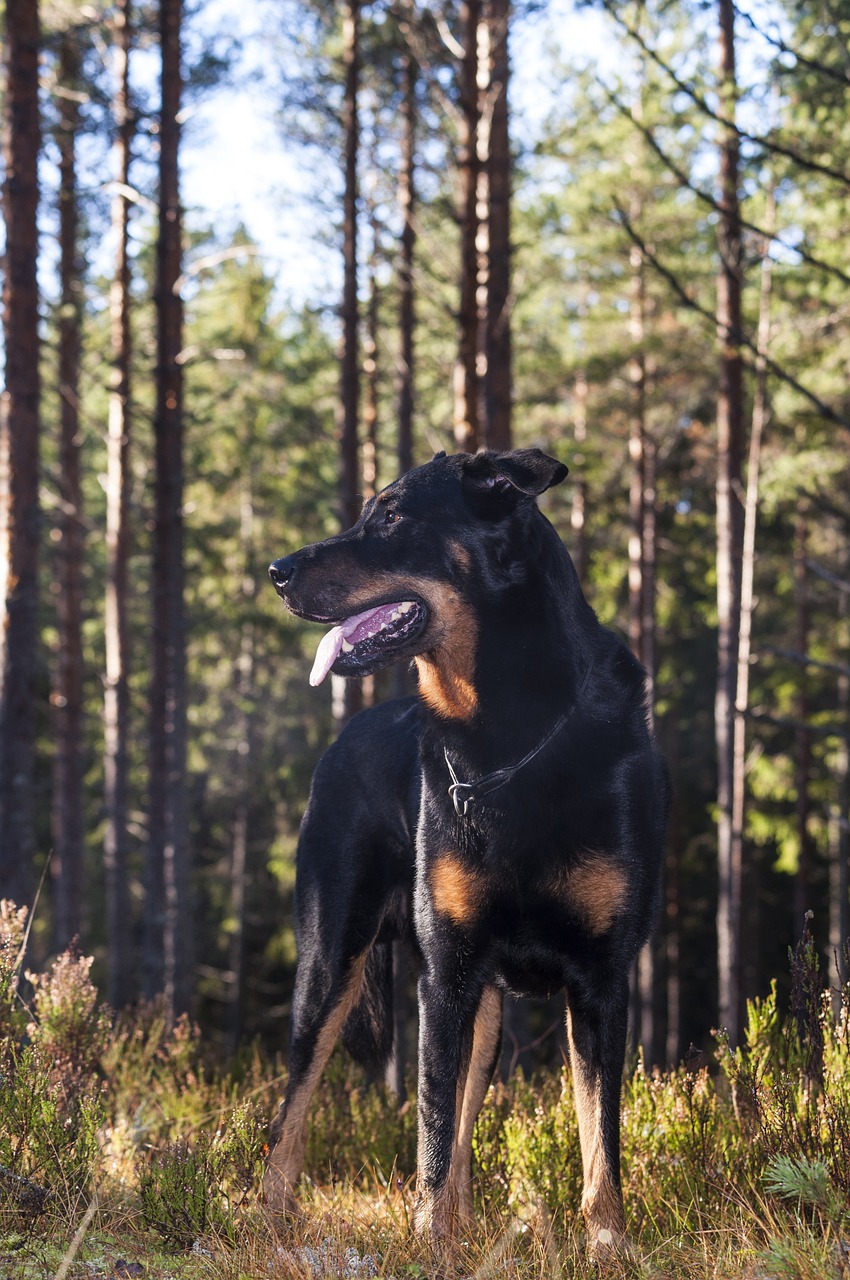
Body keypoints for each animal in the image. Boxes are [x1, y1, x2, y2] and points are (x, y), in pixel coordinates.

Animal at [267, 450, 670, 1259]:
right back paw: (268, 1218)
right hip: (333, 957)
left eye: (391, 514)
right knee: (295, 1103)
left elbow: (599, 1141)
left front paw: (609, 1247)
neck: (510, 735)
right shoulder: (445, 975)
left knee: (459, 1128)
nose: (277, 570)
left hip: (481, 1009)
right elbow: (429, 1130)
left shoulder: (601, 980)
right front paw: (430, 1246)